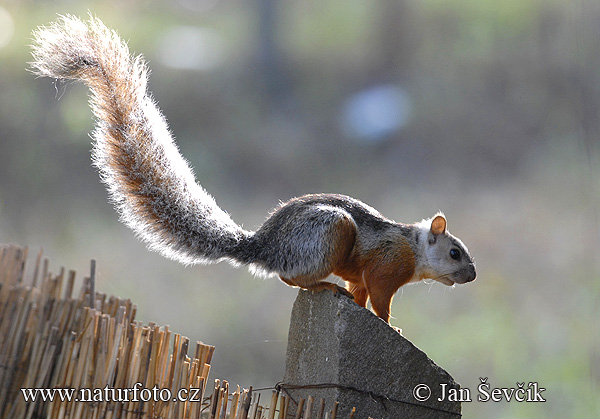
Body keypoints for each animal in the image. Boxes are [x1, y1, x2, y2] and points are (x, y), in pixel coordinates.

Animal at [30, 15, 476, 328]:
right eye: (454, 251)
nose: (472, 276)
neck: (413, 247)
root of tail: (264, 246)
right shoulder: (385, 266)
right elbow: (380, 299)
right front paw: (391, 326)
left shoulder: (365, 276)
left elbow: (361, 291)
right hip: (332, 231)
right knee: (289, 278)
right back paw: (322, 284)